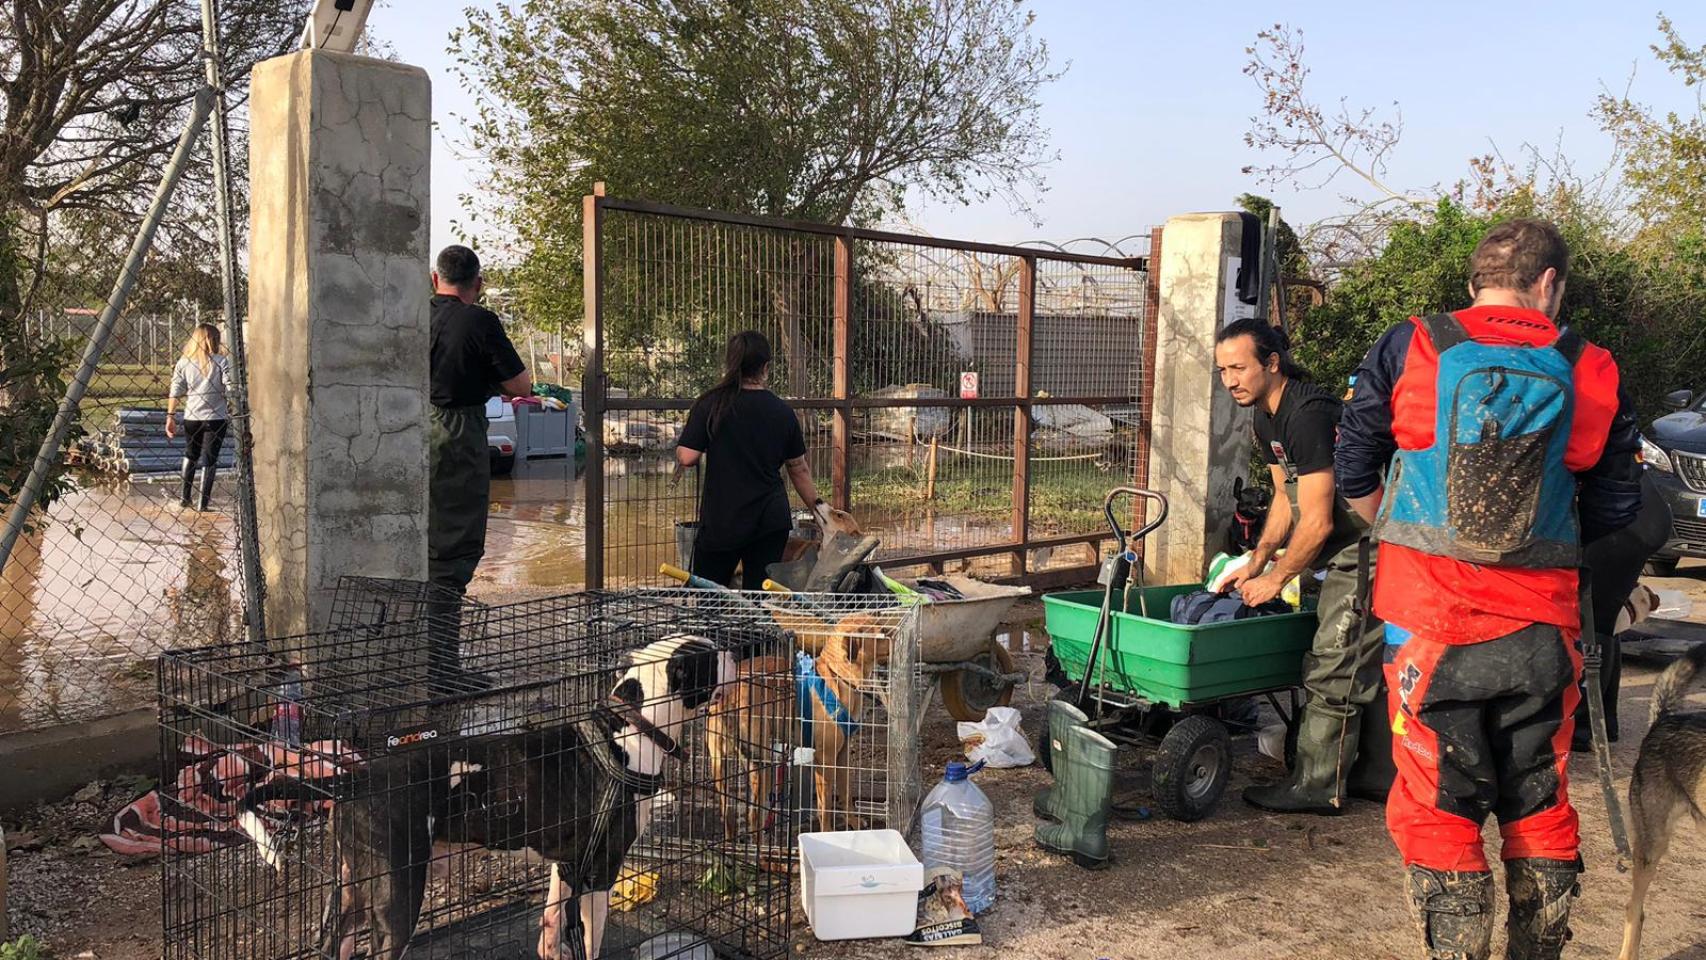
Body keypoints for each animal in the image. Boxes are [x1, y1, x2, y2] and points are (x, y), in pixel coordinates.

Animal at [243, 637, 736, 960]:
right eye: (711, 656)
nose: (738, 649)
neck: (629, 729)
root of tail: (355, 781)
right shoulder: (600, 872)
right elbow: (590, 941)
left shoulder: (567, 866)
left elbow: (552, 927)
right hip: (396, 895)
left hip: (350, 889)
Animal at [706, 617, 893, 842]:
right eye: (881, 633)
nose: (895, 639)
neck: (837, 674)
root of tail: (730, 694)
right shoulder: (825, 759)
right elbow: (825, 806)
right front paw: (827, 834)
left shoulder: (843, 754)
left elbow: (846, 792)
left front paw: (854, 823)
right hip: (760, 760)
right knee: (753, 815)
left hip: (720, 762)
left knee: (729, 811)